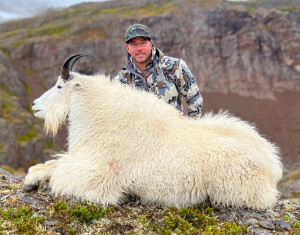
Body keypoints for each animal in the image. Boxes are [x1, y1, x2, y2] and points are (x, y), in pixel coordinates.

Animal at [24, 53, 282, 209]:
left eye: (59, 86)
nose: (35, 105)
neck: (102, 116)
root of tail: (272, 165)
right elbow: (53, 164)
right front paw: (32, 179)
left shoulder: (100, 175)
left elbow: (60, 171)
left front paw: (31, 180)